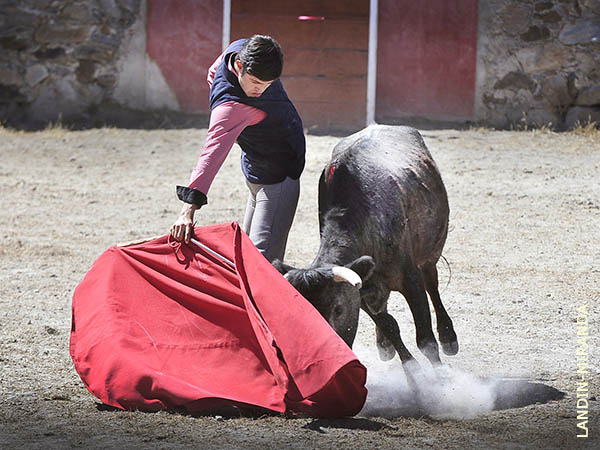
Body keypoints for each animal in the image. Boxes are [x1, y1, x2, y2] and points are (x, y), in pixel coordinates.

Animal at [274, 124, 460, 372]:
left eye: (338, 309)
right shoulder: (360, 291)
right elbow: (391, 327)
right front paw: (413, 372)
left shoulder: (410, 279)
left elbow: (425, 338)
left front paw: (440, 376)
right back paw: (383, 344)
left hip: (430, 253)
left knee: (432, 283)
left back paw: (449, 337)